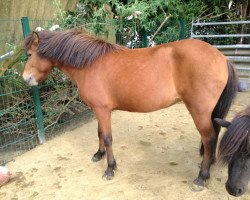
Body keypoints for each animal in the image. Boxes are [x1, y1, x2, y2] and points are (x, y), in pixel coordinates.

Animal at [22, 29, 238, 191]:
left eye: (30, 55)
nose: (25, 79)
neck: (89, 64)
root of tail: (221, 57)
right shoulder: (99, 110)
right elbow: (99, 132)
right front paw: (98, 155)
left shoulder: (102, 110)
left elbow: (107, 137)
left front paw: (110, 169)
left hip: (199, 111)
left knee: (209, 138)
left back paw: (201, 177)